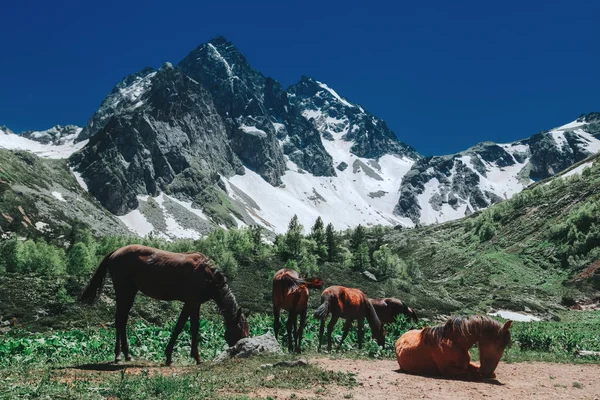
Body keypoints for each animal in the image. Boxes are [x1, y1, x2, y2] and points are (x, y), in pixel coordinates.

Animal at [79, 244, 248, 366]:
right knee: (119, 319)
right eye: (240, 332)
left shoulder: (189, 304)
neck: (207, 275)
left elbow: (180, 326)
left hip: (130, 292)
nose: (239, 349)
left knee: (123, 319)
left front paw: (169, 356)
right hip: (123, 291)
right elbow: (192, 328)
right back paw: (118, 355)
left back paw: (127, 355)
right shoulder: (193, 303)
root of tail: (115, 252)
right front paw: (197, 357)